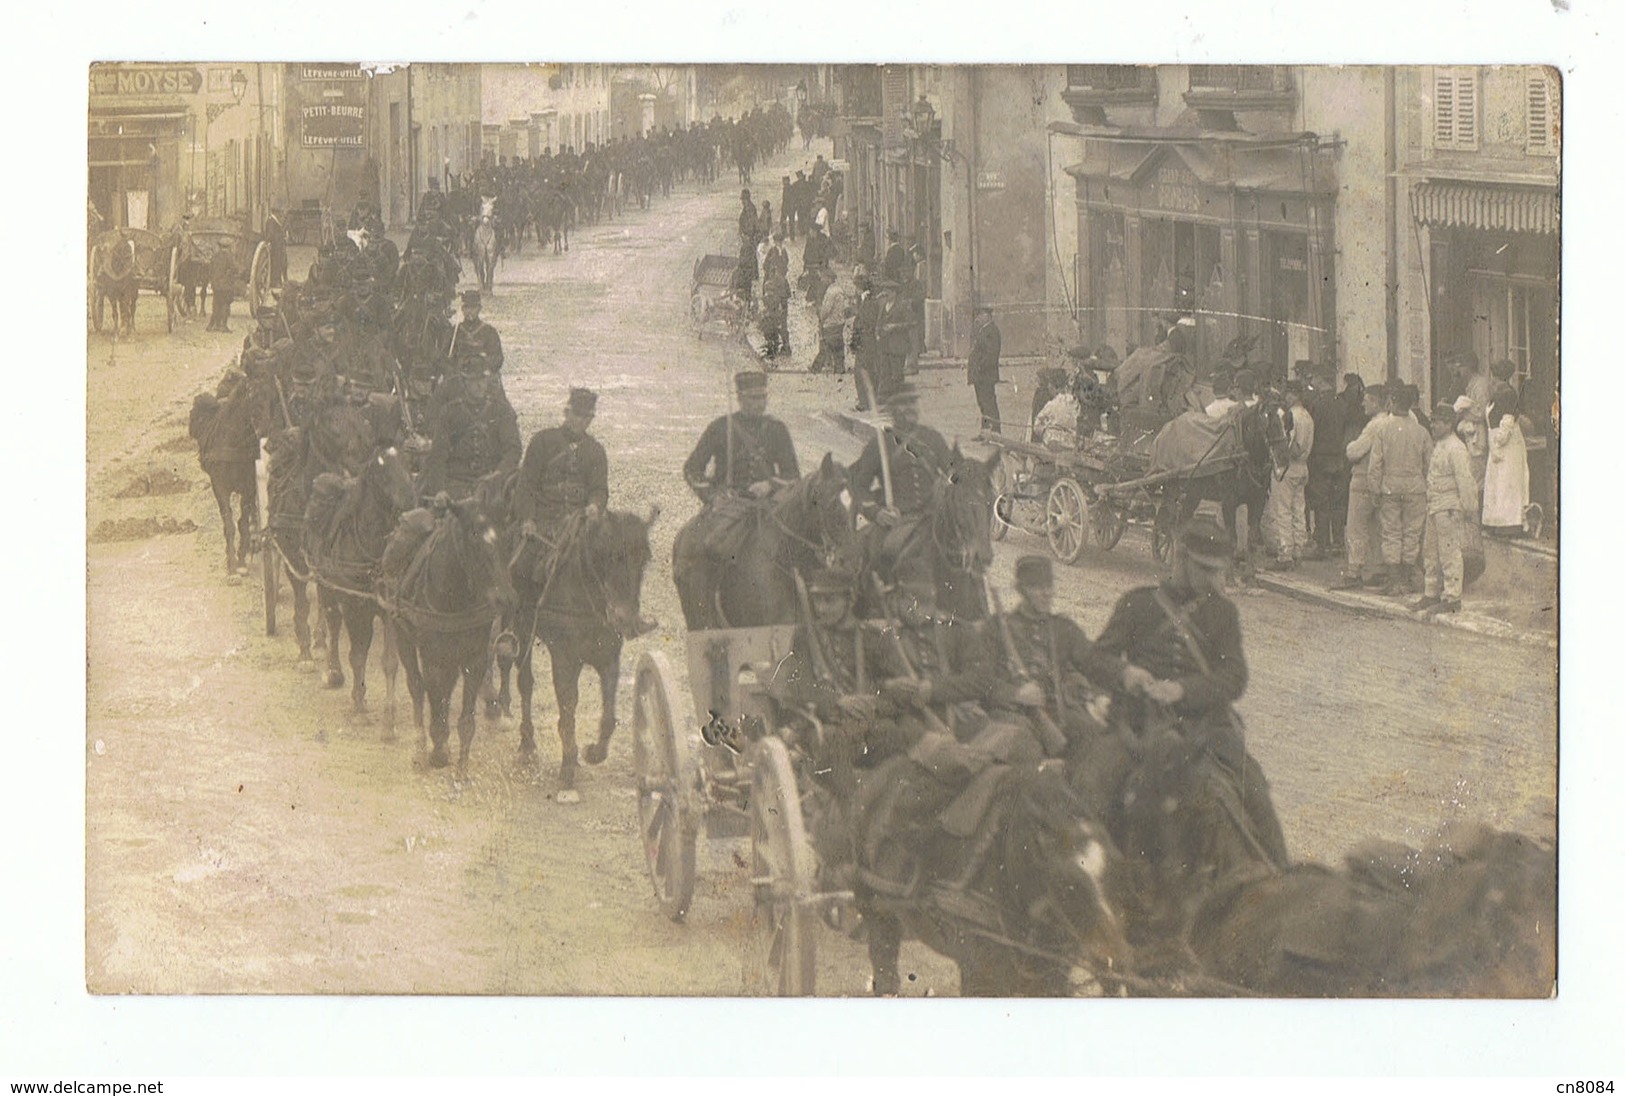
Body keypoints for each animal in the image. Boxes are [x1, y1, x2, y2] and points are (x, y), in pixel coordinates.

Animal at [305, 442, 416, 715]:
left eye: (408, 464)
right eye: (381, 472)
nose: (410, 501)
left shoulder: (389, 610)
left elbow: (389, 661)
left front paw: (389, 714)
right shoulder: (355, 607)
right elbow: (357, 654)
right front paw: (358, 700)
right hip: (327, 589)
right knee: (333, 625)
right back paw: (333, 672)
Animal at [390, 497, 516, 767]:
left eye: (505, 536)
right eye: (473, 536)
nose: (506, 598)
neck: (454, 597)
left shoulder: (475, 660)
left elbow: (466, 721)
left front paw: (461, 767)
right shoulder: (432, 659)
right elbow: (436, 703)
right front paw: (438, 752)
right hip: (403, 637)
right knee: (416, 686)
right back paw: (420, 749)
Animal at [510, 504, 656, 793]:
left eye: (644, 559)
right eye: (609, 556)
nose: (626, 619)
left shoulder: (609, 659)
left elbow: (608, 715)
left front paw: (592, 753)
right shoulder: (564, 660)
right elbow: (567, 708)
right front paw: (567, 768)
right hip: (522, 629)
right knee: (525, 683)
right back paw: (527, 742)